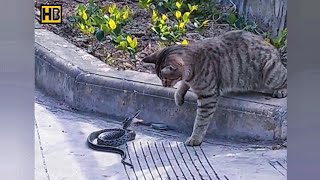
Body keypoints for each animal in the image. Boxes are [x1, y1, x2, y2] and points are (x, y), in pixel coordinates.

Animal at [141, 29, 286, 146]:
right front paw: (178, 96)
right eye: (161, 78)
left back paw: (281, 90)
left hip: (270, 73)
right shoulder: (189, 81)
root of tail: (275, 50)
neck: (194, 62)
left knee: (285, 77)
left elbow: (200, 122)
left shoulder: (207, 97)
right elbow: (183, 84)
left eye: (165, 78)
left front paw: (195, 138)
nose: (164, 85)